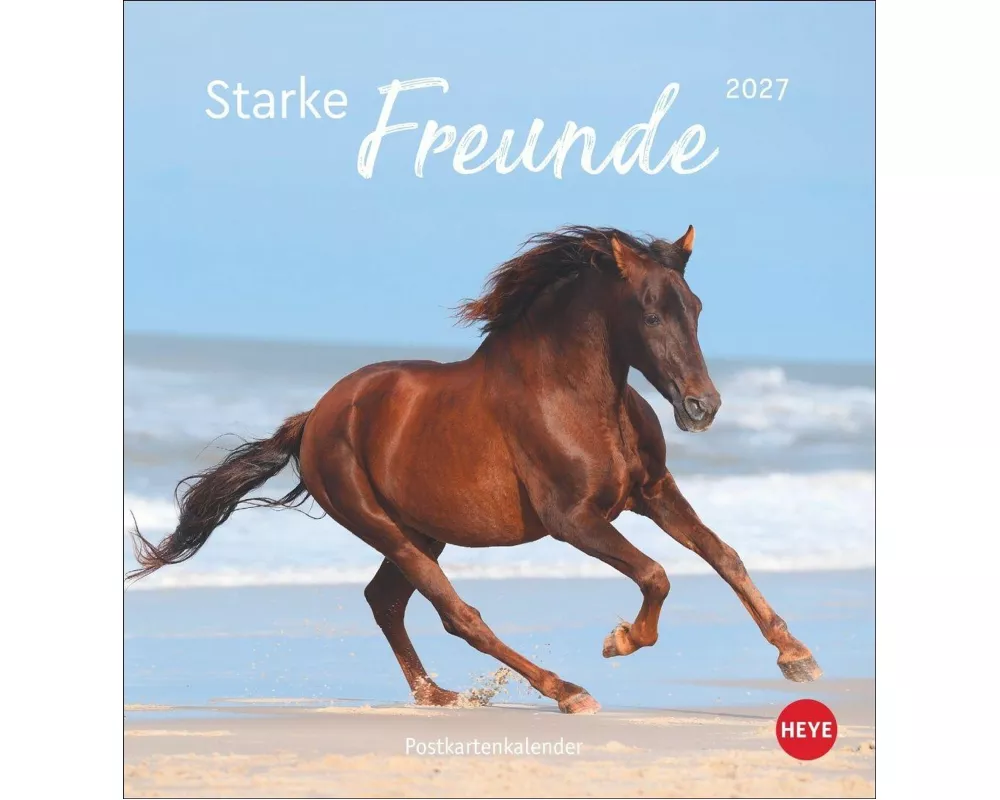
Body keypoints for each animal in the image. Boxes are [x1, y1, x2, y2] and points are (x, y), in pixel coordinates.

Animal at [126, 225, 822, 714]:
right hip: (384, 528)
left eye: (696, 307)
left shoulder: (651, 491)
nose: (703, 407)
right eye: (651, 313)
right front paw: (620, 639)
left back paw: (438, 695)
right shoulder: (573, 519)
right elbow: (656, 573)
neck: (573, 394)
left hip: (423, 530)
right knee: (456, 614)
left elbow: (722, 554)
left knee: (386, 602)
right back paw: (566, 690)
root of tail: (317, 416)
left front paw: (797, 656)